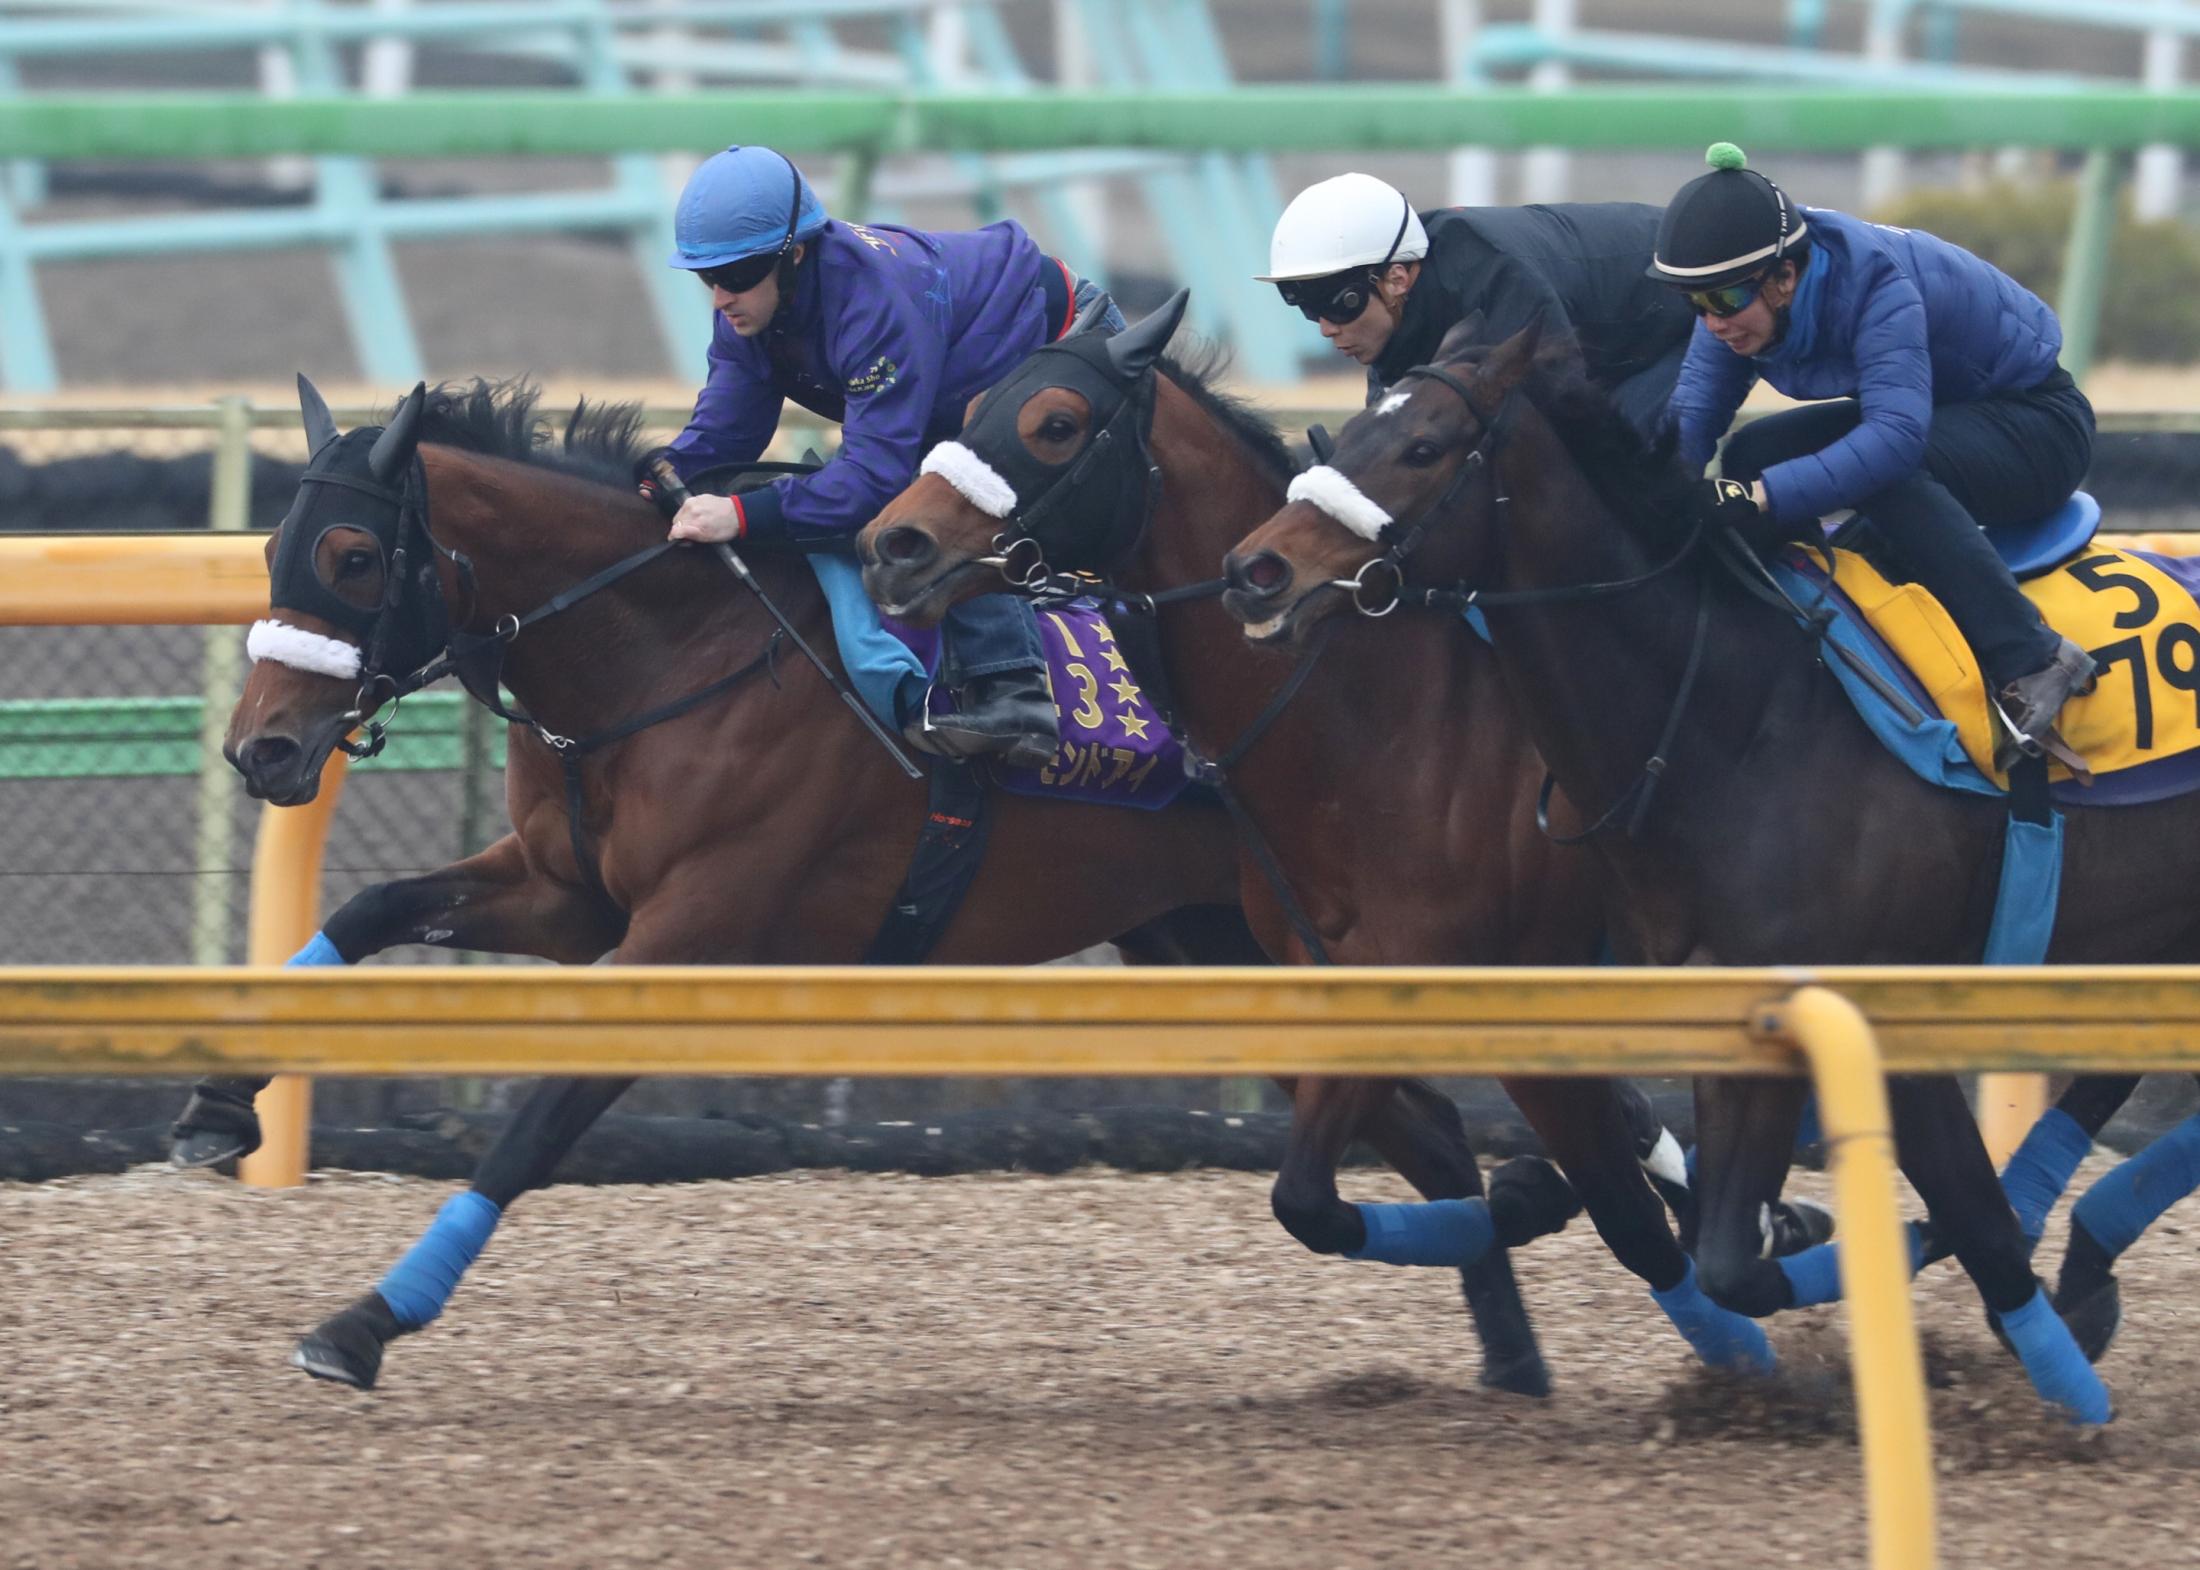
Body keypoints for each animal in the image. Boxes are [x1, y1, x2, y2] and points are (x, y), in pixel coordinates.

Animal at [1214, 318, 2191, 1416]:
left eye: (1423, 447)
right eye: (1344, 434)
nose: (1257, 569)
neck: (1739, 714)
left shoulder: (1876, 1001)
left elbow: (1929, 1225)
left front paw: (2066, 1400)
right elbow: (1723, 1250)